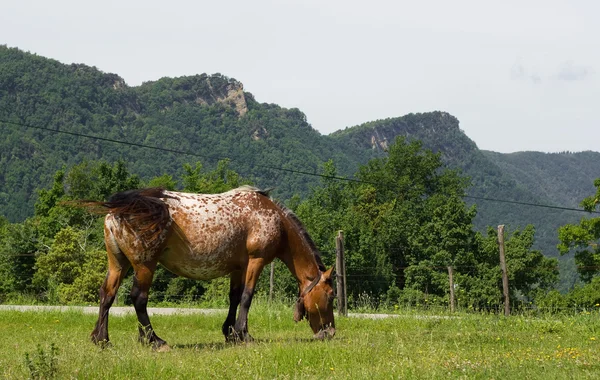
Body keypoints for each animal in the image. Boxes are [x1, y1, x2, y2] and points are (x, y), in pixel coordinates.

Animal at [77, 186, 336, 348]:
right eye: (332, 295)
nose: (331, 333)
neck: (275, 220)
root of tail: (116, 211)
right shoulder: (256, 260)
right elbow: (247, 297)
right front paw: (243, 334)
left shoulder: (239, 267)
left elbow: (234, 298)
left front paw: (230, 333)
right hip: (144, 265)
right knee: (138, 298)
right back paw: (154, 340)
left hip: (118, 264)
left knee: (107, 295)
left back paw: (102, 339)